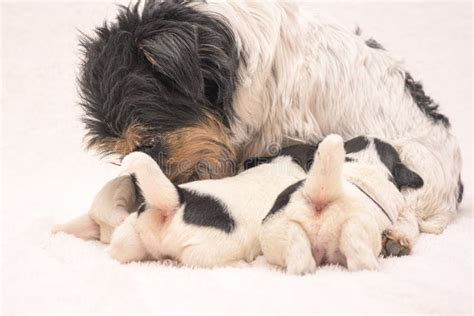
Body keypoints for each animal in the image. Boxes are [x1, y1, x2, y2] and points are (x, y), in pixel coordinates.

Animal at [77, 0, 462, 254]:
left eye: (150, 145)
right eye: (120, 152)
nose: (143, 200)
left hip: (417, 161)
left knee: (409, 211)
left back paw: (398, 236)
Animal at [260, 135, 422, 276]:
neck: (365, 161)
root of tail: (321, 198)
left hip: (282, 229)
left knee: (301, 261)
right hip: (362, 228)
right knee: (362, 262)